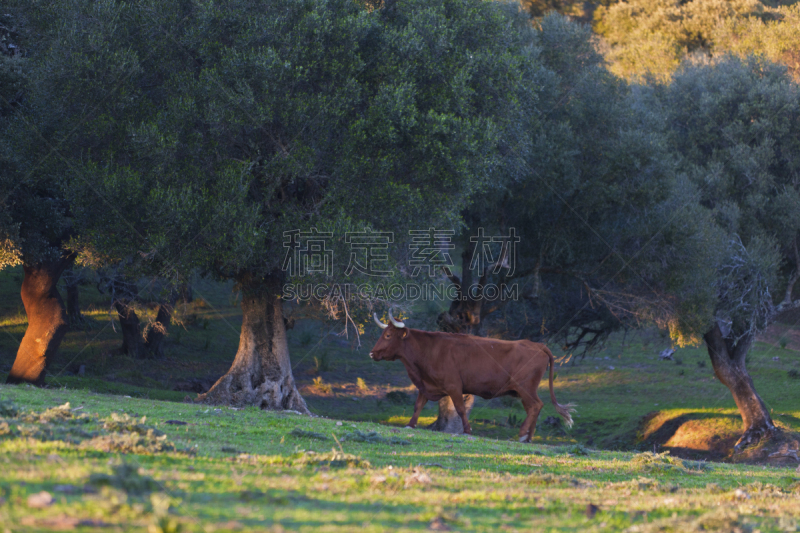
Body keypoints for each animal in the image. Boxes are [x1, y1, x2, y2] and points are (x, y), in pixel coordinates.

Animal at [372, 308, 572, 440]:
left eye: (388, 335)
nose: (372, 353)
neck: (429, 349)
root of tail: (537, 344)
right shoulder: (426, 386)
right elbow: (417, 406)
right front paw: (410, 425)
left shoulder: (454, 386)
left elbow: (460, 409)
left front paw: (467, 430)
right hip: (524, 391)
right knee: (534, 408)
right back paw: (529, 437)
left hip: (525, 388)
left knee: (536, 405)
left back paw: (522, 435)